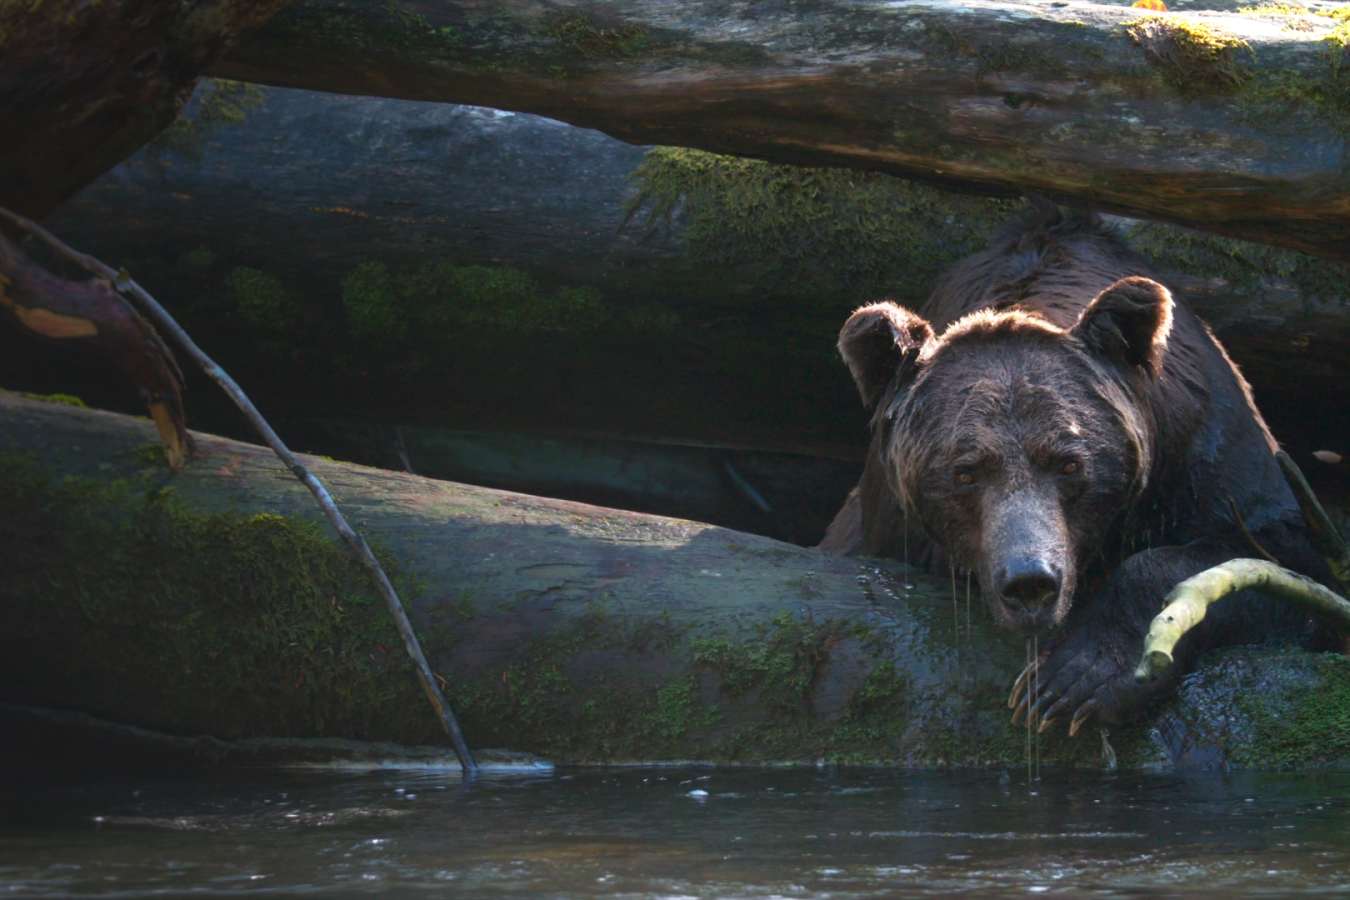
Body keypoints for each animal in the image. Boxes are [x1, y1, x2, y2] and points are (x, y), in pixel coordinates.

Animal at [821, 202, 1336, 736]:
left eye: (1068, 462)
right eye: (966, 471)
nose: (1030, 582)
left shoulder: (1209, 455)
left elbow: (1277, 559)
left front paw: (1070, 682)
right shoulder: (889, 527)